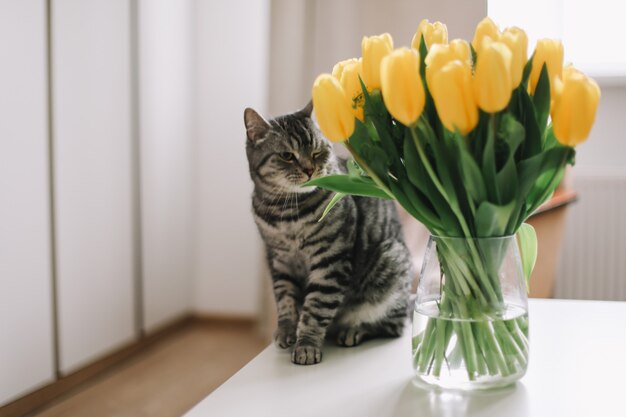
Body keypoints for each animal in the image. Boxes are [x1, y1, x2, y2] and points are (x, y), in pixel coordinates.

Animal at [243, 101, 410, 364]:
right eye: (287, 156)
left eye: (317, 152)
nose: (310, 169)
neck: (286, 213)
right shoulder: (279, 259)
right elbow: (285, 299)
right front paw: (287, 330)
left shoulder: (331, 259)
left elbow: (316, 308)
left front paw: (306, 345)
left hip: (389, 268)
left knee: (392, 325)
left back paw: (353, 330)